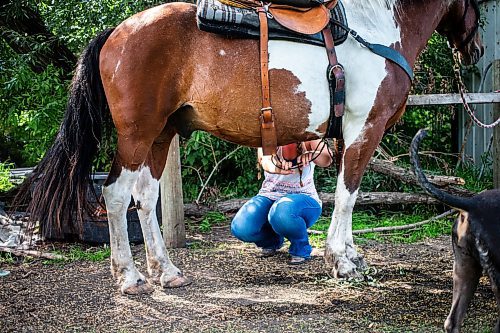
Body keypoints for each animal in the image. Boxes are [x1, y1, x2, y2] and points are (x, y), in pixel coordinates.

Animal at [17, 0, 482, 294]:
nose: (476, 49)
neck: (376, 30)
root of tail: (119, 31)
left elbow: (347, 194)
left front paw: (350, 254)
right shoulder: (364, 129)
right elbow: (349, 193)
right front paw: (342, 260)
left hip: (161, 135)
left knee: (145, 197)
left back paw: (166, 272)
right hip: (137, 134)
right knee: (115, 195)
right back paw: (129, 278)